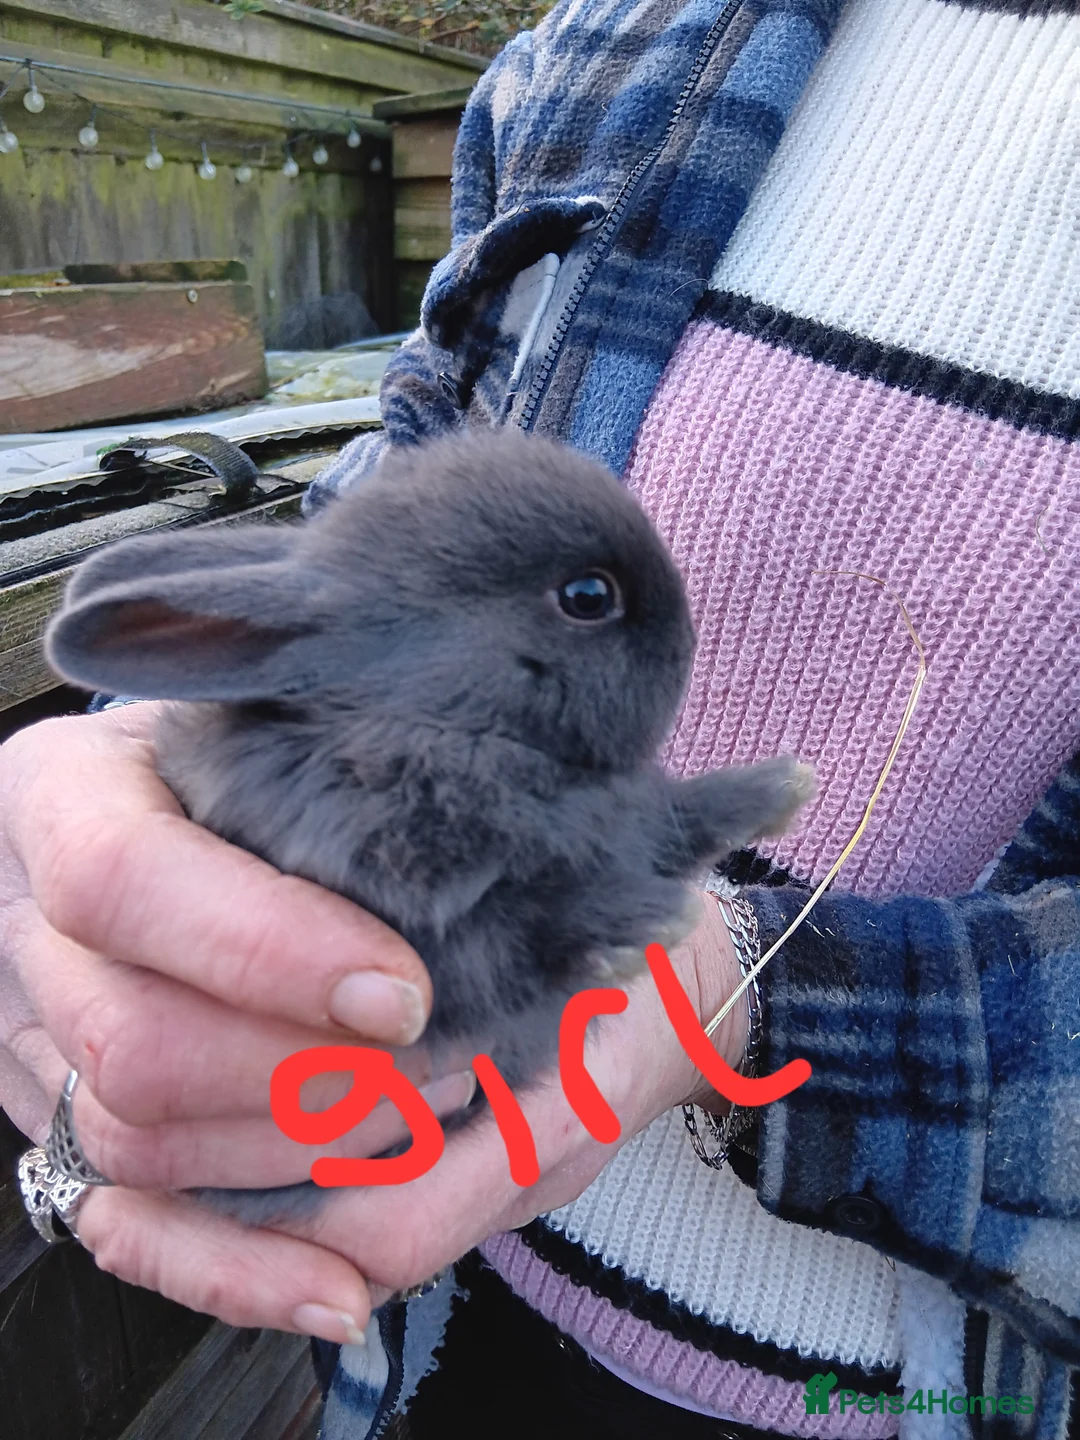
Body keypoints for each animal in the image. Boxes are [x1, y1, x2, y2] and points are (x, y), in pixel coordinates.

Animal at [45, 427, 814, 1223]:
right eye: (588, 596)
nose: (690, 642)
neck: (436, 719)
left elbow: (669, 828)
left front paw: (781, 788)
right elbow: (544, 925)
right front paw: (651, 918)